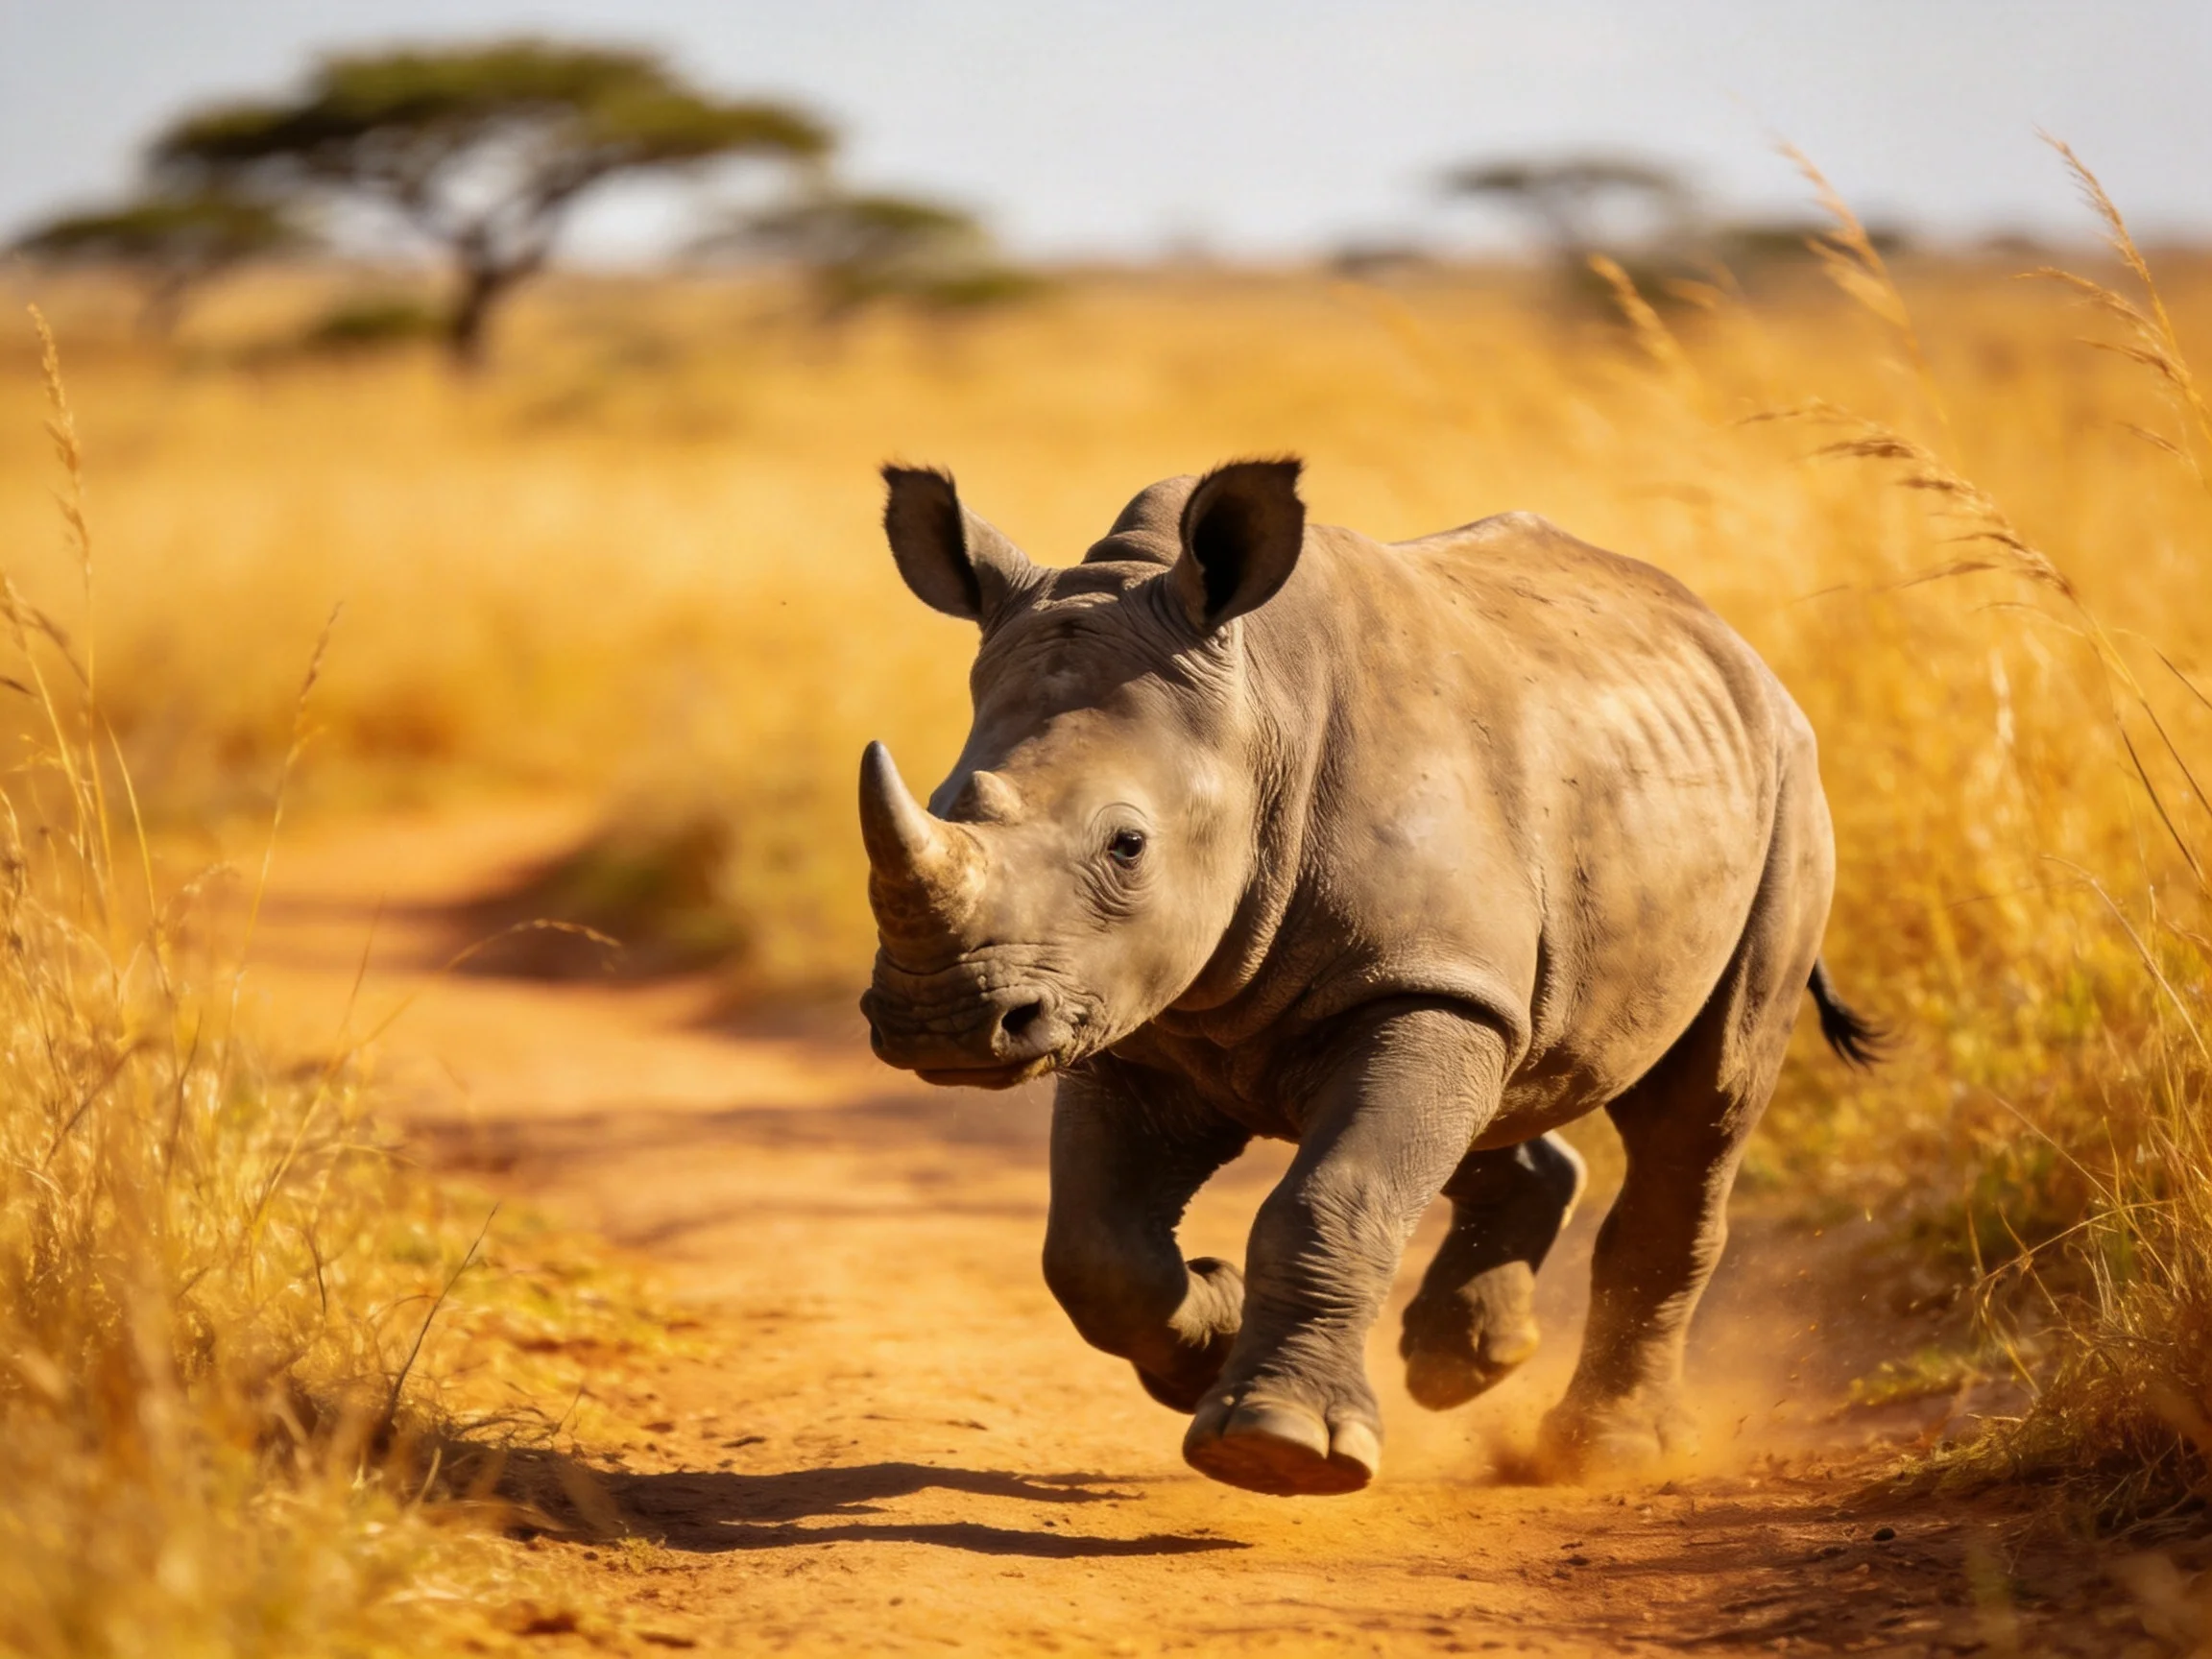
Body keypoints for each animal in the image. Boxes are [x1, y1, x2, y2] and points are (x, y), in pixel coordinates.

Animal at [857, 459, 1879, 1497]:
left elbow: (1335, 1194)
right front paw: (1210, 1345)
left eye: (1127, 844)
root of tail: (1733, 646)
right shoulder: (1125, 1007)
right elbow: (1093, 1249)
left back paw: (1602, 1453)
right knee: (1505, 1076)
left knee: (1702, 1103)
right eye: (945, 802)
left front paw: (1280, 1447)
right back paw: (1468, 1364)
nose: (943, 1021)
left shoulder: (1412, 979)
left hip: (1787, 796)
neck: (1257, 717)